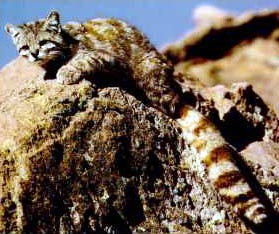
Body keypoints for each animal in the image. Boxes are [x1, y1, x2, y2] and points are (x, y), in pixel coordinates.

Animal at [5, 11, 272, 227]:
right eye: (25, 47)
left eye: (43, 42)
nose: (35, 54)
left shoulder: (104, 56)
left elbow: (82, 60)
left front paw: (66, 71)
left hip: (148, 76)